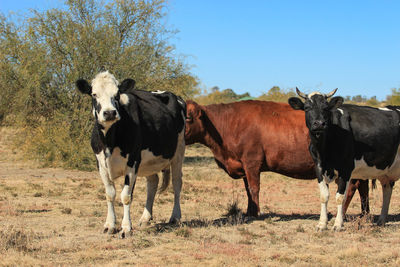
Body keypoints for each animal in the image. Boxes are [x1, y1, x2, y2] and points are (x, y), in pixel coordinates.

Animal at [76, 71, 186, 239]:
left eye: (117, 94)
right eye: (94, 94)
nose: (109, 112)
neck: (109, 142)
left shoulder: (132, 162)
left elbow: (126, 196)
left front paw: (126, 228)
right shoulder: (100, 163)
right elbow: (110, 194)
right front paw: (109, 225)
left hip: (178, 151)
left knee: (177, 182)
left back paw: (175, 217)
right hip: (149, 161)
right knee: (152, 182)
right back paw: (145, 218)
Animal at [186, 100, 370, 218]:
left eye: (187, 117)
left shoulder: (252, 163)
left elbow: (254, 188)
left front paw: (255, 213)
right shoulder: (244, 166)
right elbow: (247, 190)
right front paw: (249, 211)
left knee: (352, 188)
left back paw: (344, 214)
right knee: (363, 188)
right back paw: (364, 214)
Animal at [290, 89, 400, 231]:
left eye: (326, 108)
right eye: (307, 108)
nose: (319, 123)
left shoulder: (346, 168)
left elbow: (340, 197)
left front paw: (337, 224)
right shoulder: (318, 167)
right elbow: (324, 196)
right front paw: (322, 223)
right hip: (386, 171)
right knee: (387, 189)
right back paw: (381, 220)